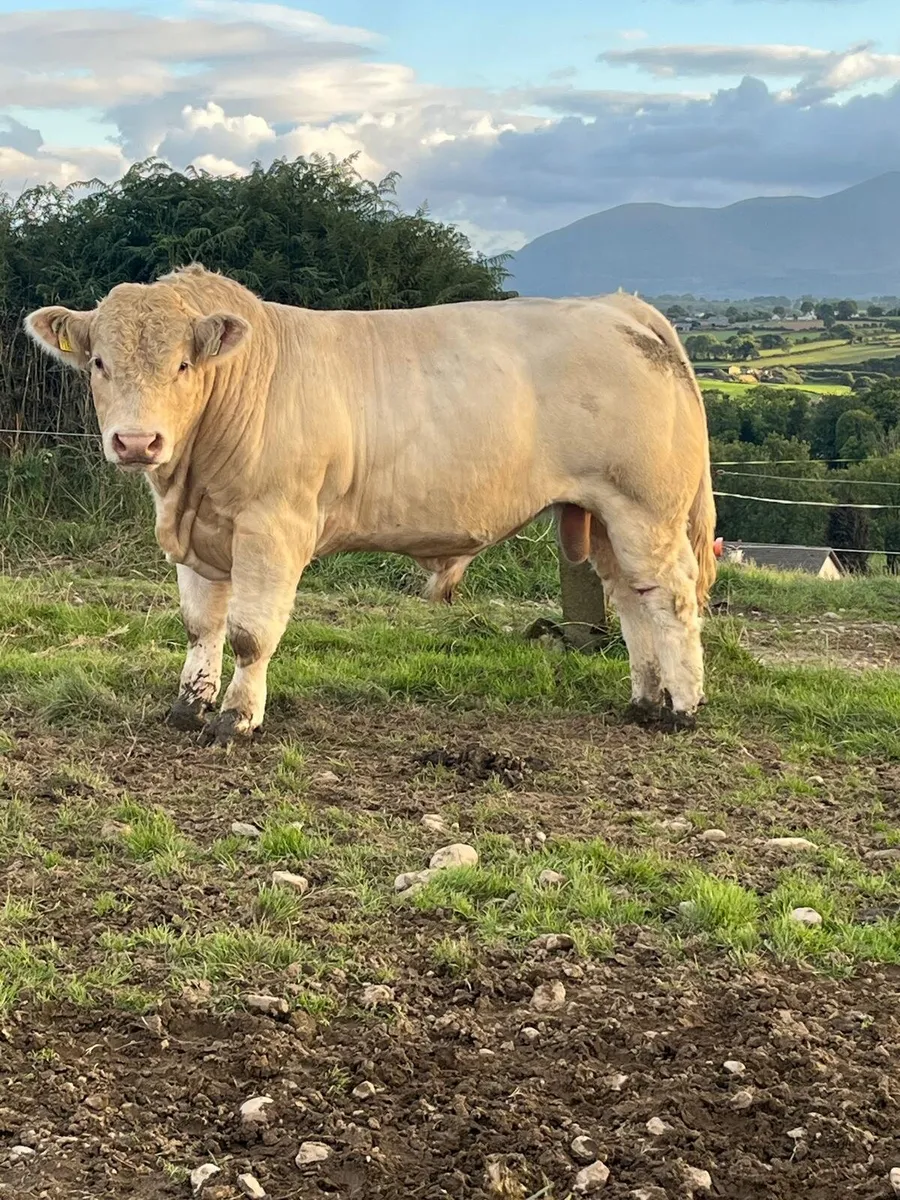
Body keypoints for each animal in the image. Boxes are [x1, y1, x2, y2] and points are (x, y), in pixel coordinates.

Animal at [26, 265, 716, 746]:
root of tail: (617, 305)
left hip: (645, 508)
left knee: (672, 598)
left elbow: (250, 633)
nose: (136, 441)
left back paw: (682, 708)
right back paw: (644, 701)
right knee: (633, 600)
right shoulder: (201, 534)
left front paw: (237, 719)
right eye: (98, 362)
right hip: (602, 517)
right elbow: (202, 625)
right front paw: (188, 705)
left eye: (183, 364)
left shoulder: (273, 527)